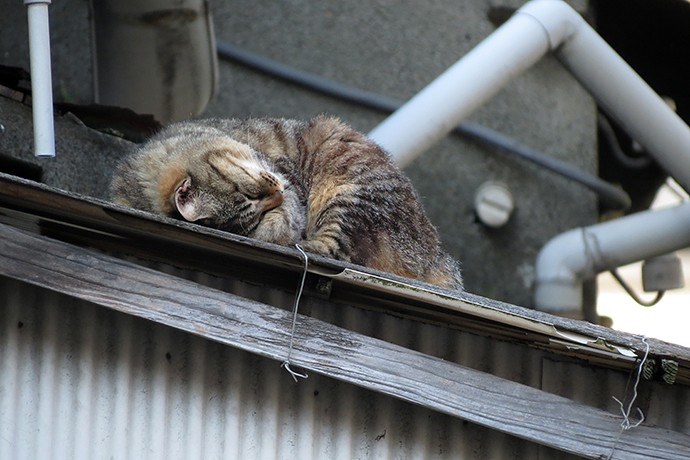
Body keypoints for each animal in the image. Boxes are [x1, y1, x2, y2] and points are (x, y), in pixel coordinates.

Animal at [109, 114, 462, 288]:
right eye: (252, 204)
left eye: (252, 190)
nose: (276, 194)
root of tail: (438, 256)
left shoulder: (287, 177)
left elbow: (290, 213)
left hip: (347, 192)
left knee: (336, 251)